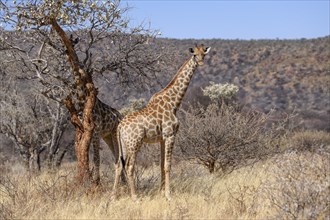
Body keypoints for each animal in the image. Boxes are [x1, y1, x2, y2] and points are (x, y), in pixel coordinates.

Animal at [113, 43, 211, 200]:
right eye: (194, 55)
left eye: (204, 54)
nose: (201, 63)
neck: (174, 104)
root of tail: (120, 126)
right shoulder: (170, 135)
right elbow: (167, 165)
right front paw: (168, 195)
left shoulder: (161, 139)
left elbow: (160, 165)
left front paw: (161, 193)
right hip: (134, 143)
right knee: (129, 166)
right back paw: (135, 197)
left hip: (123, 144)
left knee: (118, 165)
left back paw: (113, 197)